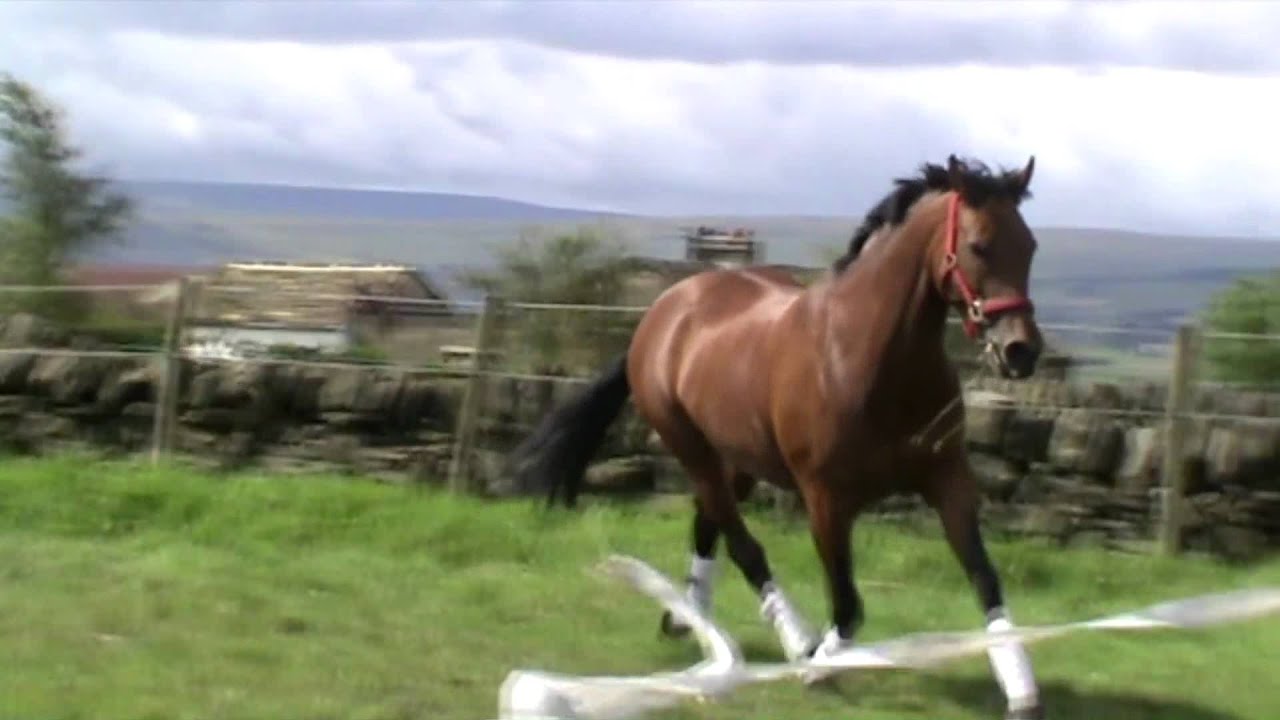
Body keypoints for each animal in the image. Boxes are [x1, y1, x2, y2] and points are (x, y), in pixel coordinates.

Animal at [509, 155, 1047, 720]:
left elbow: (986, 579)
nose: (1020, 352)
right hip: (691, 447)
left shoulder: (948, 481)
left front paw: (1021, 690)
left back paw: (690, 620)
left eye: (1030, 244)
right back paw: (792, 640)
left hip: (740, 459)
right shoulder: (827, 498)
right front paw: (819, 665)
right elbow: (848, 606)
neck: (867, 357)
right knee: (739, 540)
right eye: (979, 245)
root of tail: (662, 312)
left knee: (709, 521)